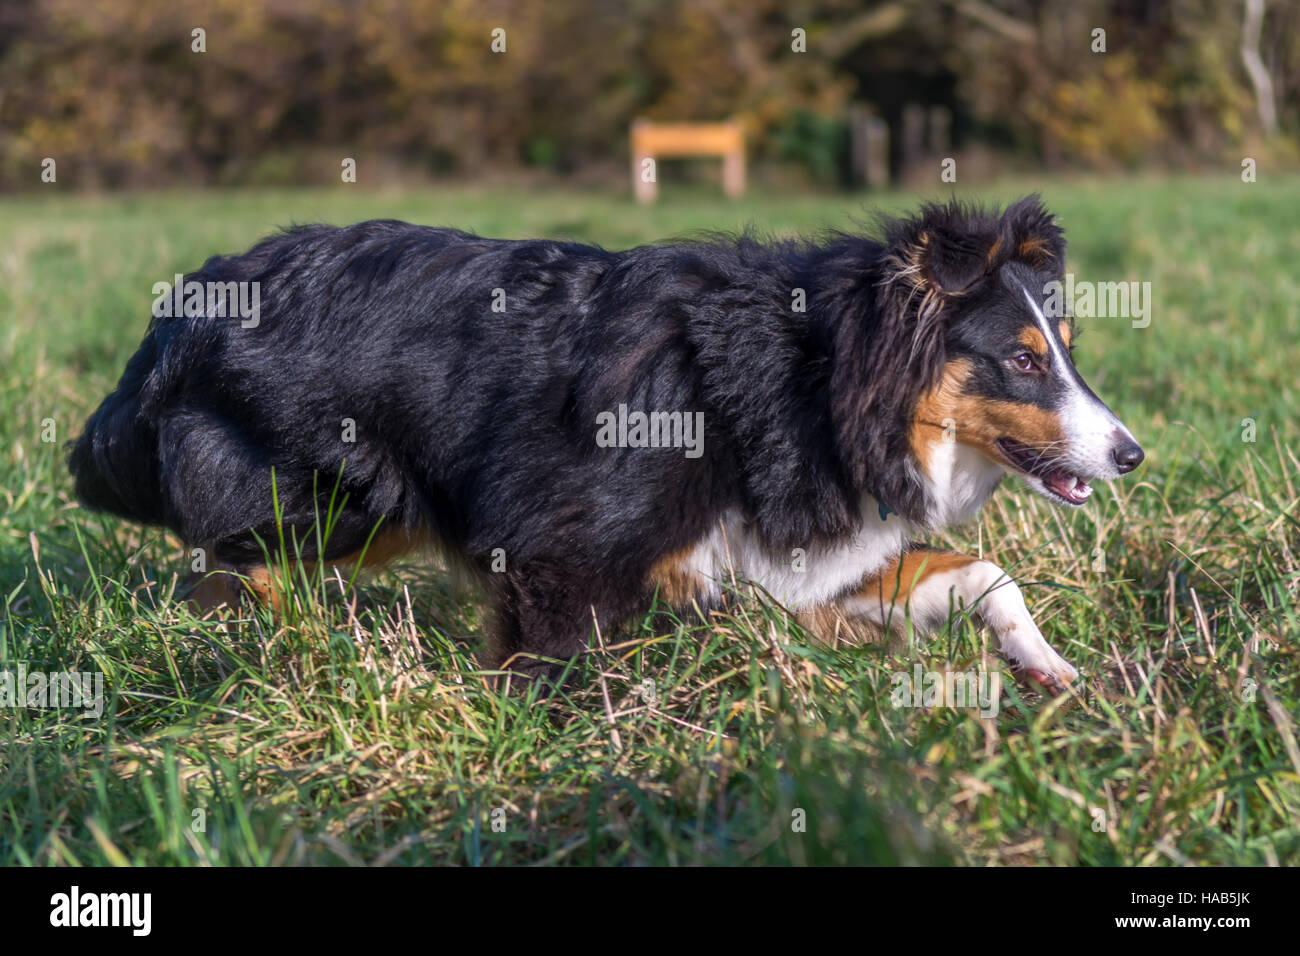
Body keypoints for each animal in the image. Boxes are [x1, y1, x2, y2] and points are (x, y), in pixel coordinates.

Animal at [68, 200, 1138, 697]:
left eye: (1067, 349)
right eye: (1022, 359)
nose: (1131, 454)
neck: (815, 384)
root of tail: (183, 306)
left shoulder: (803, 567)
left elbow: (988, 573)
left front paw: (1053, 671)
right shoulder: (563, 540)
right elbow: (557, 655)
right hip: (344, 490)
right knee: (239, 563)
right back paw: (287, 653)